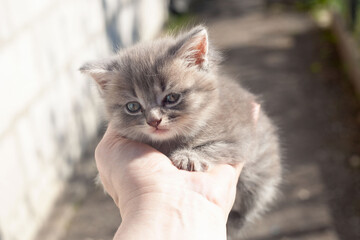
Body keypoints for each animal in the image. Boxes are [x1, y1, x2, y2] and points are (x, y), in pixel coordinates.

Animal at [80, 26, 282, 229]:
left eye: (171, 98)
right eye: (133, 107)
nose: (154, 121)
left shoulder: (240, 138)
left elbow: (215, 146)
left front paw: (189, 156)